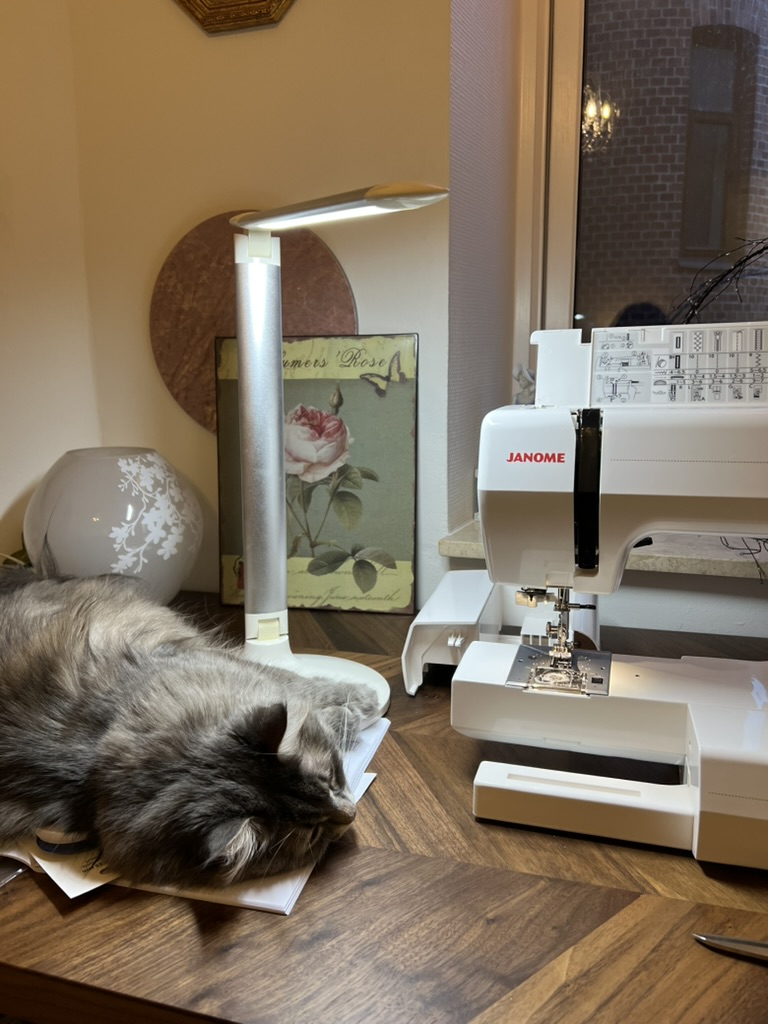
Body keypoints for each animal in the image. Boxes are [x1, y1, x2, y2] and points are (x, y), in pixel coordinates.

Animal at [0, 568, 381, 889]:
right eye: (314, 835)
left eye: (331, 779)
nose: (352, 814)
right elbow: (309, 695)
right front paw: (358, 709)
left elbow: (301, 684)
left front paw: (363, 699)